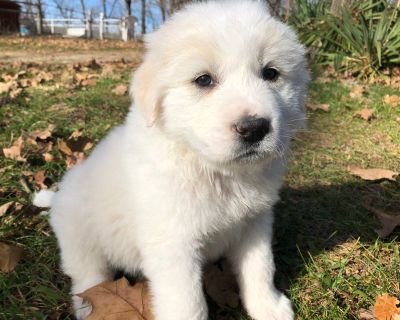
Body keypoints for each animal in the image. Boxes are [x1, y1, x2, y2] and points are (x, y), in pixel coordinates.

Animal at [34, 1, 310, 318]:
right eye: (203, 80)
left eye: (271, 73)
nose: (254, 128)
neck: (217, 172)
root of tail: (59, 196)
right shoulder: (173, 245)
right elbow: (188, 303)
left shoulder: (255, 223)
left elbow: (260, 267)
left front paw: (269, 307)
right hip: (80, 238)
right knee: (86, 277)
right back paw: (88, 307)